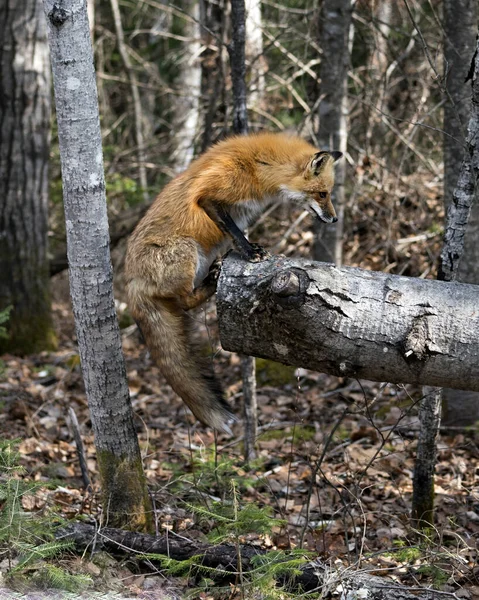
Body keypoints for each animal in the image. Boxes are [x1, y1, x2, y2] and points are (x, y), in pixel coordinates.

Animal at [124, 132, 342, 432]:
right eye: (323, 194)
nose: (335, 218)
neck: (258, 166)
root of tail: (130, 281)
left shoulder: (236, 207)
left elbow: (236, 232)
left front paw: (248, 249)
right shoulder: (211, 195)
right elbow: (235, 232)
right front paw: (250, 252)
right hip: (187, 249)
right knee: (185, 301)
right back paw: (209, 283)